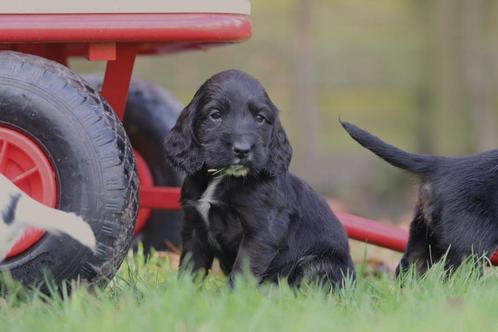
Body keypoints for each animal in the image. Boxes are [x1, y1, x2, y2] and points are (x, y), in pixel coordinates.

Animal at [165, 70, 356, 288]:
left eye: (260, 118)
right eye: (215, 115)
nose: (242, 149)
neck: (224, 177)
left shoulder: (261, 233)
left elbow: (242, 272)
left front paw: (234, 296)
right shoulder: (194, 229)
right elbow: (190, 268)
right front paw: (183, 292)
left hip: (317, 263)